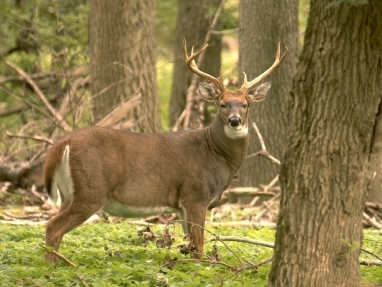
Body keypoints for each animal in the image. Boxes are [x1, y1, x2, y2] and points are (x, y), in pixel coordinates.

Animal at [43, 40, 286, 264]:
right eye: (222, 104)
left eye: (246, 104)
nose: (235, 121)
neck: (216, 154)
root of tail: (63, 141)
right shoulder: (195, 194)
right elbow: (199, 246)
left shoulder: (182, 205)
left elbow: (190, 243)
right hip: (92, 189)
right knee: (53, 226)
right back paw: (53, 266)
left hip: (69, 192)